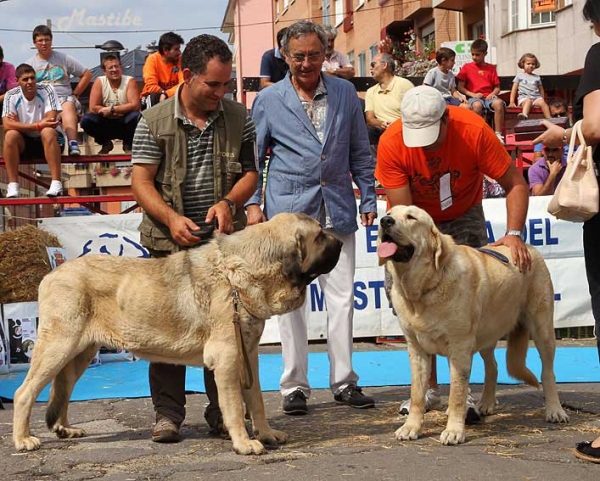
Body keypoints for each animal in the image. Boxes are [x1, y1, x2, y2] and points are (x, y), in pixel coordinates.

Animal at [12, 213, 342, 454]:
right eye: (319, 236)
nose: (340, 240)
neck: (239, 273)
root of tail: (52, 274)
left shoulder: (248, 354)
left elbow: (257, 401)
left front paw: (267, 434)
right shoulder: (227, 358)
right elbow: (235, 406)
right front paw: (244, 443)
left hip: (80, 352)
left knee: (63, 389)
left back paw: (65, 429)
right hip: (59, 346)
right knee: (24, 392)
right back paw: (23, 439)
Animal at [378, 204, 568, 444]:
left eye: (411, 217)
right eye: (390, 213)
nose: (385, 221)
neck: (424, 289)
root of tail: (527, 246)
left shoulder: (459, 348)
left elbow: (457, 394)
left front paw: (454, 431)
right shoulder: (417, 350)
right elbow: (417, 394)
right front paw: (411, 427)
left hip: (542, 328)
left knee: (548, 372)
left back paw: (555, 410)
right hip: (486, 333)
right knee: (493, 366)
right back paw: (486, 403)